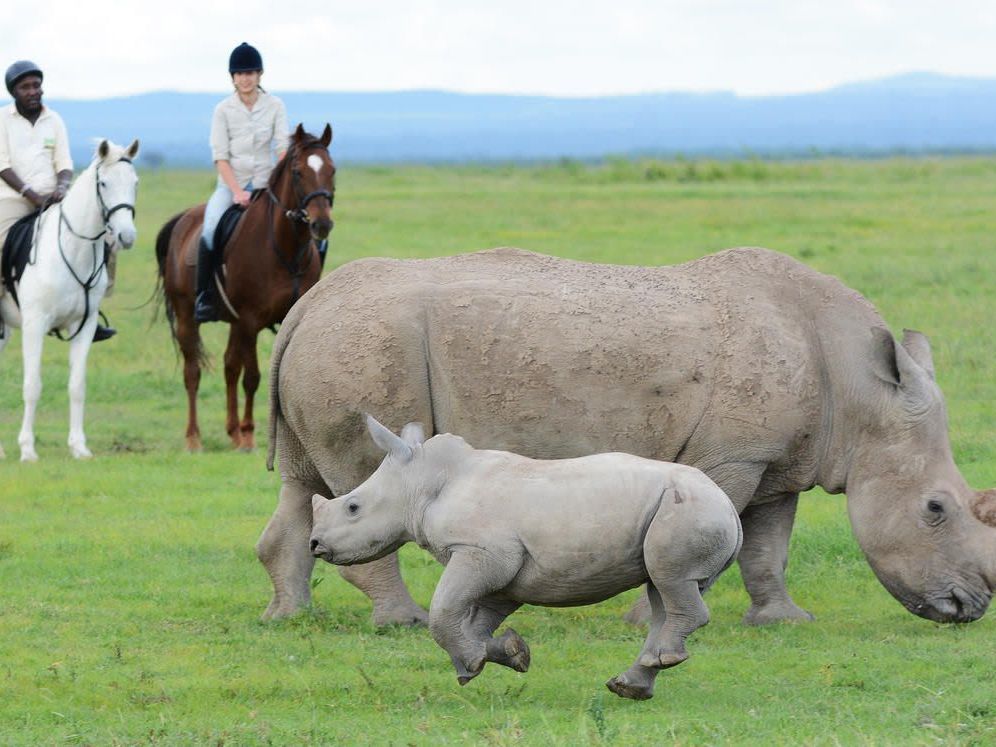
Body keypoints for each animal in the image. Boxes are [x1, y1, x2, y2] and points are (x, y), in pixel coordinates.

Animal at [258, 247, 996, 627]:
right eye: (936, 509)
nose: (970, 607)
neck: (863, 393)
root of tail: (306, 306)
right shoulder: (731, 458)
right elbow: (708, 538)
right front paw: (656, 620)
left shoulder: (780, 458)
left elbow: (768, 547)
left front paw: (785, 622)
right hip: (367, 348)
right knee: (360, 473)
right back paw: (404, 622)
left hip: (334, 345)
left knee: (302, 483)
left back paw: (287, 618)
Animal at [310, 415, 743, 700]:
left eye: (353, 507)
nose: (315, 544)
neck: (423, 482)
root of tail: (728, 504)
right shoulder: (503, 570)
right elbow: (476, 620)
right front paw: (503, 656)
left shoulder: (481, 551)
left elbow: (443, 612)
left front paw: (472, 664)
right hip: (678, 510)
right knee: (661, 588)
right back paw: (630, 686)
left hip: (686, 510)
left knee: (670, 581)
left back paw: (660, 662)